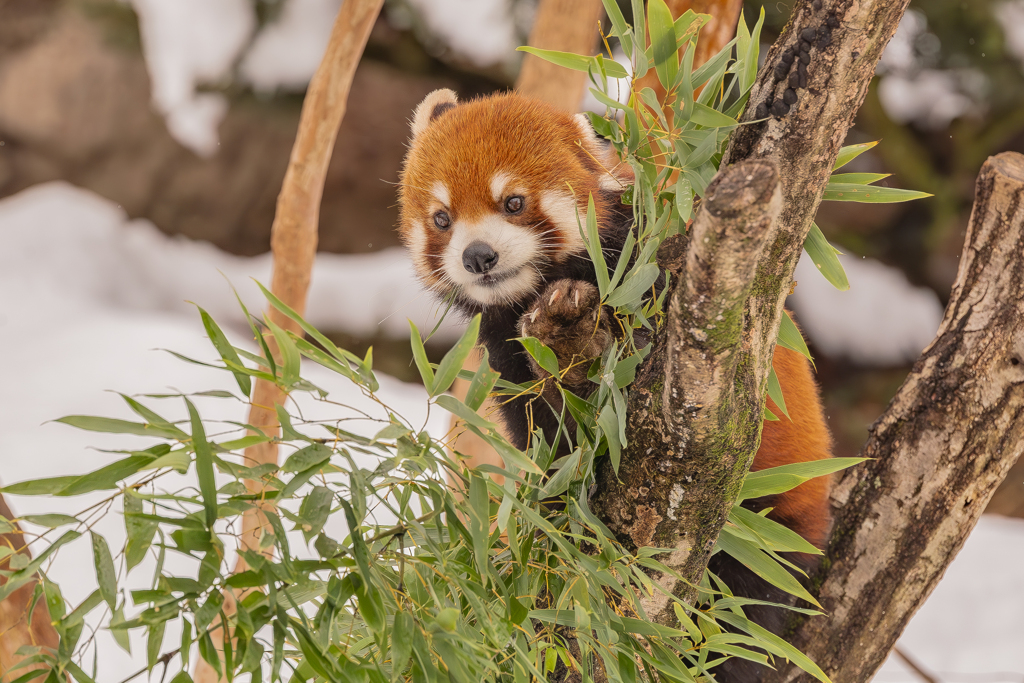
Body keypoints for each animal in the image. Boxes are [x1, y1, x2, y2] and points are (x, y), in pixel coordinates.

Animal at [395, 87, 835, 671]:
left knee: (744, 619)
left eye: (513, 203)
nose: (478, 256)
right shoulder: (506, 350)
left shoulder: (644, 274)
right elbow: (550, 438)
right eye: (442, 218)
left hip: (768, 529)